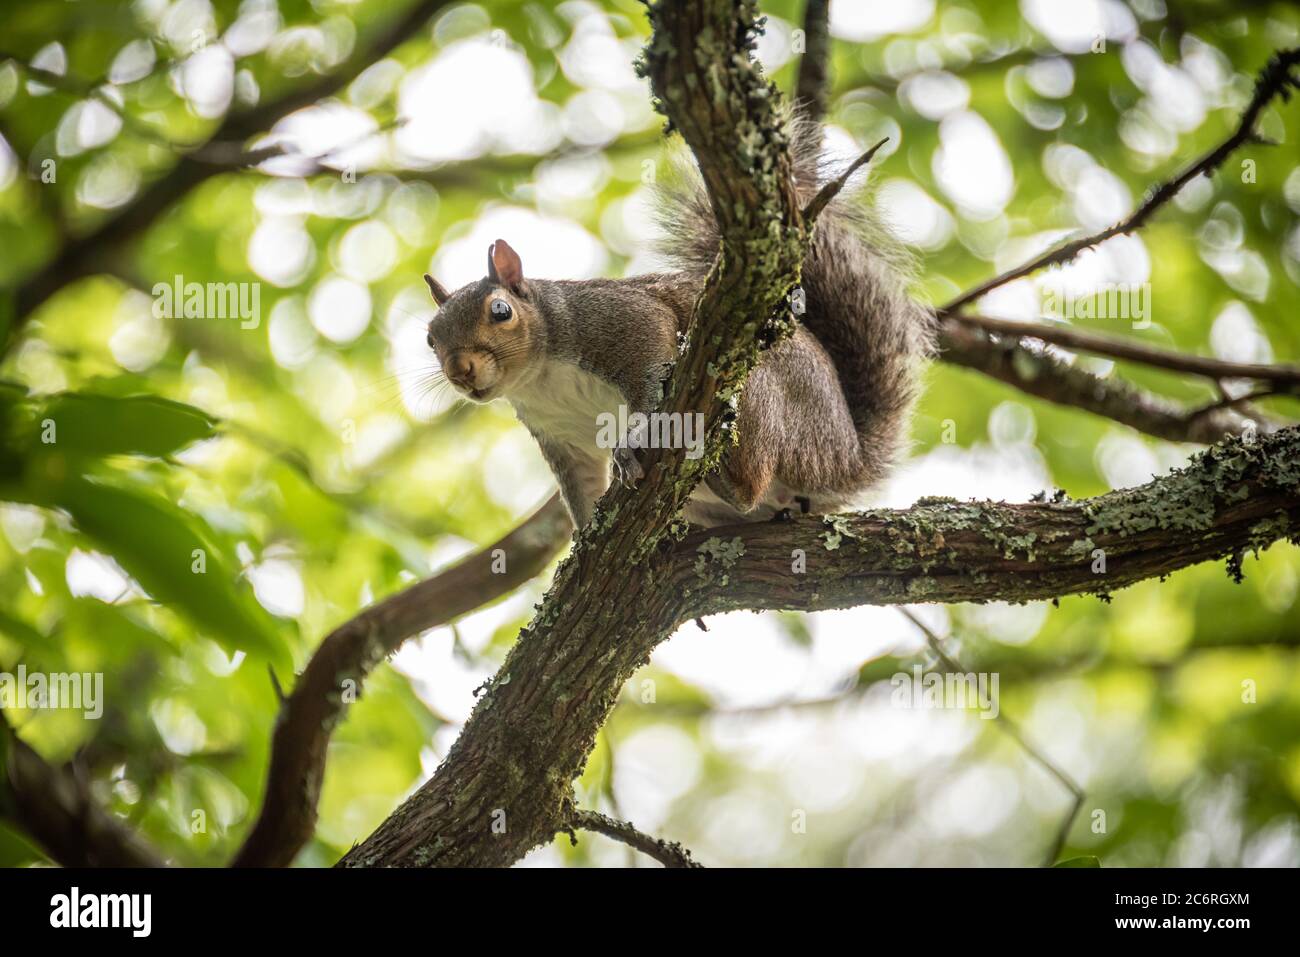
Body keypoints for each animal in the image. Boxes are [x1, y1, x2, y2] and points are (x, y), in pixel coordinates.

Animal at [426, 115, 935, 530]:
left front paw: (631, 441)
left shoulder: (619, 321)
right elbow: (582, 489)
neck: (540, 377)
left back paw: (729, 477)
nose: (460, 371)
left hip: (764, 396)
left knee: (751, 482)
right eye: (430, 339)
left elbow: (649, 368)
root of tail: (846, 458)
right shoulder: (560, 438)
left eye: (500, 311)